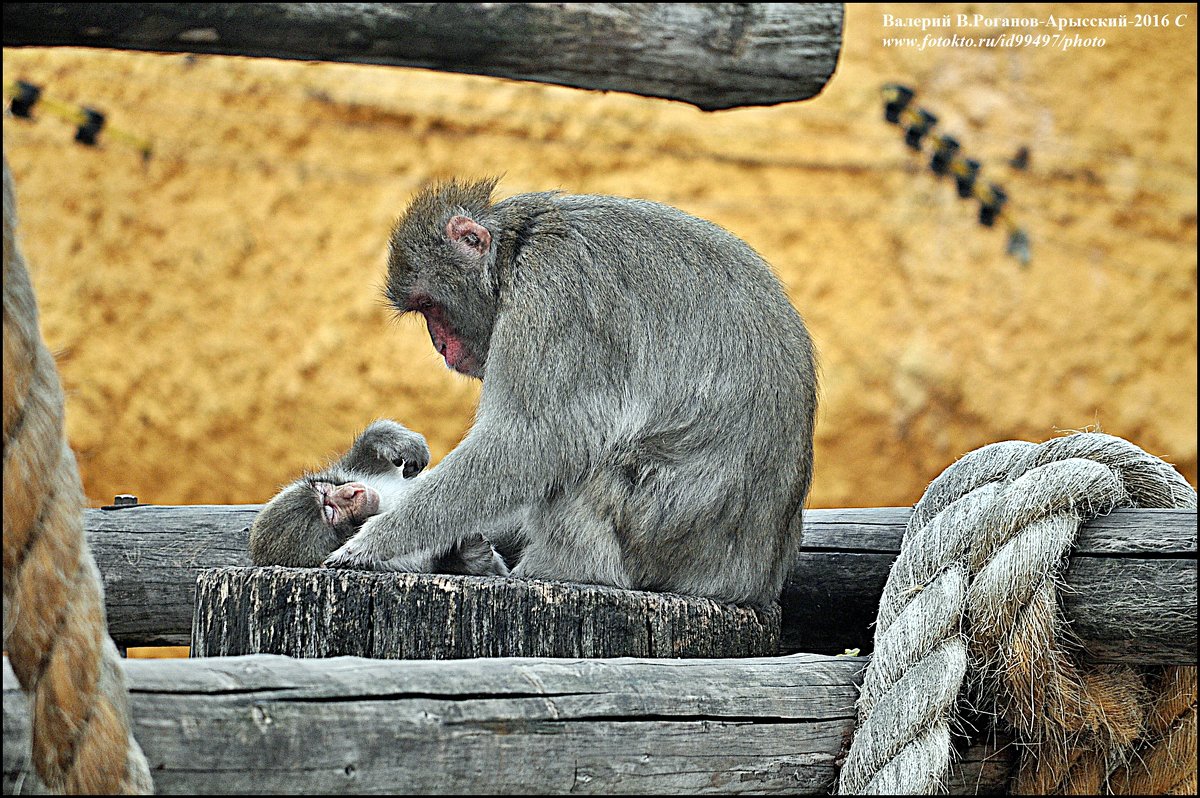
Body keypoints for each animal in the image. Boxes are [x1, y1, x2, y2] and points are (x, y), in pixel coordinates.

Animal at [248, 420, 506, 576]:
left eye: (325, 491)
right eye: (330, 512)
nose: (351, 492)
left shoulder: (350, 473)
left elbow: (366, 453)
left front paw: (392, 439)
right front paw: (466, 557)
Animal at [324, 178, 820, 604]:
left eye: (429, 305)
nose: (441, 347)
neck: (515, 251)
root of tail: (752, 581)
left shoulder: (553, 298)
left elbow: (533, 440)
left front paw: (374, 542)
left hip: (655, 530)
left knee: (585, 459)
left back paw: (563, 569)